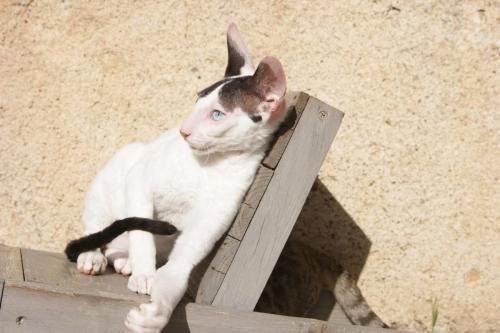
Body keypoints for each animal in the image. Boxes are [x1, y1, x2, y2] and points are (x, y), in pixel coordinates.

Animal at [70, 23, 290, 332]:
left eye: (217, 114)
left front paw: (154, 314)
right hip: (118, 171)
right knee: (98, 226)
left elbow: (179, 268)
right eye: (197, 102)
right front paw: (144, 274)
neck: (209, 165)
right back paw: (94, 256)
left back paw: (124, 261)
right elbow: (142, 233)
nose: (183, 131)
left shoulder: (213, 217)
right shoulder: (140, 177)